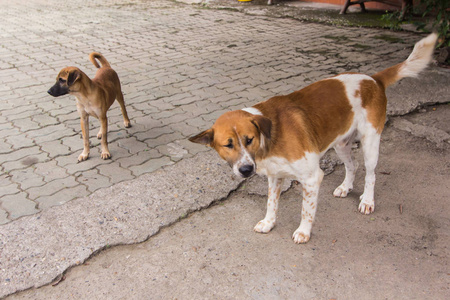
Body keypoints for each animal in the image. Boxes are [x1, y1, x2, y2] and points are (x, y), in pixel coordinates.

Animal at [189, 33, 436, 244]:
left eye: (249, 139)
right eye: (228, 145)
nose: (246, 170)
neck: (269, 141)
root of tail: (373, 79)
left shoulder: (311, 178)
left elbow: (306, 210)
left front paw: (303, 232)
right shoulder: (275, 176)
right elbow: (271, 203)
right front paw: (269, 223)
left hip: (370, 142)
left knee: (371, 174)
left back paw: (367, 200)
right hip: (341, 145)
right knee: (352, 165)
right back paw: (345, 187)